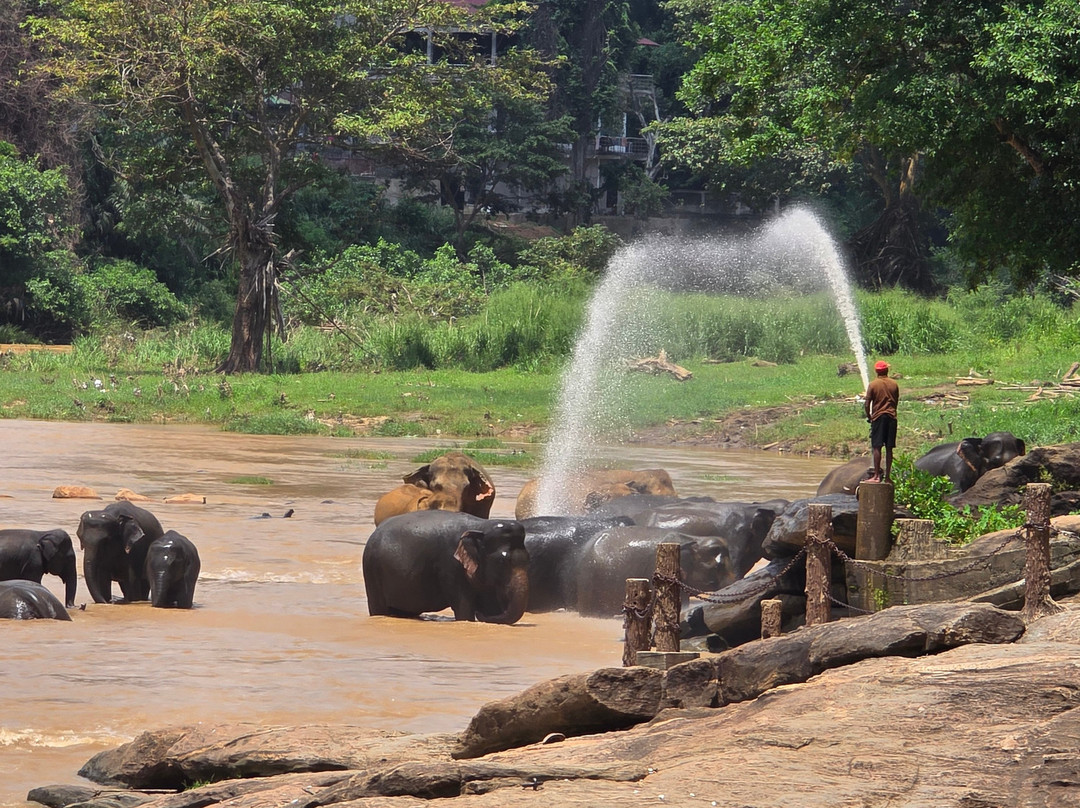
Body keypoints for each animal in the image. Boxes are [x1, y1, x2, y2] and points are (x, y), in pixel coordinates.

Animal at [363, 510, 530, 624]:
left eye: (528, 559)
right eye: (502, 561)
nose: (480, 615)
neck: (481, 525)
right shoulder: (450, 566)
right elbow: (463, 607)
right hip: (371, 572)